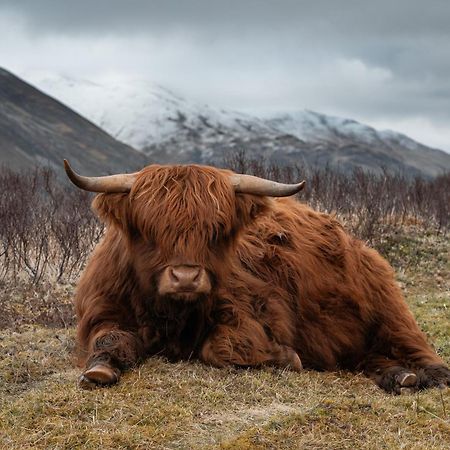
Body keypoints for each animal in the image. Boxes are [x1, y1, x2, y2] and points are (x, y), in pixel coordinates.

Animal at [64, 160, 450, 392]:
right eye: (149, 229)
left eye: (216, 231)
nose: (186, 277)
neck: (171, 314)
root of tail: (355, 242)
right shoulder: (103, 310)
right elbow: (109, 338)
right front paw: (99, 370)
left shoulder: (254, 311)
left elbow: (218, 346)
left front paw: (284, 357)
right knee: (369, 358)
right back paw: (399, 376)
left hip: (389, 310)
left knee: (415, 348)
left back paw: (424, 375)